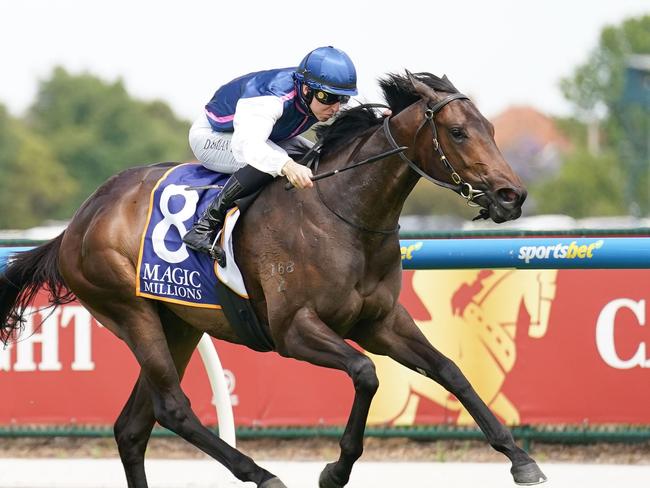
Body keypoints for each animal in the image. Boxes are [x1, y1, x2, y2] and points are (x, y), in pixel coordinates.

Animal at [1, 73, 540, 488]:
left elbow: (450, 370)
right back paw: (261, 473)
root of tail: (77, 222)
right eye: (458, 132)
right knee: (173, 407)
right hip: (131, 313)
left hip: (177, 322)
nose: (511, 195)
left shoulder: (381, 321)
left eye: (491, 128)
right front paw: (335, 470)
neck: (343, 213)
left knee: (132, 427)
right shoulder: (292, 329)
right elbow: (365, 373)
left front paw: (520, 458)